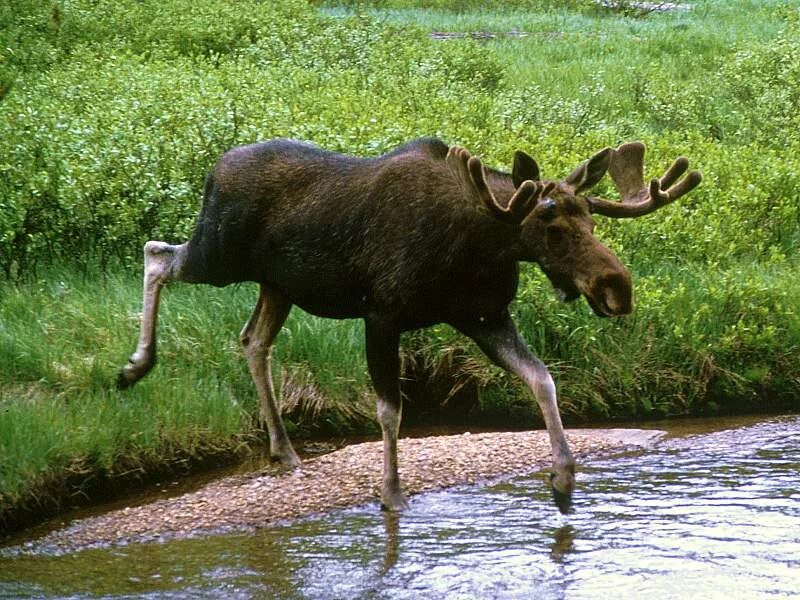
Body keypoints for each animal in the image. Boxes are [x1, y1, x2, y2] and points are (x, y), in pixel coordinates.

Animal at [117, 138, 700, 512]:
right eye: (550, 224)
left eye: (592, 219)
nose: (617, 287)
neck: (478, 245)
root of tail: (213, 171)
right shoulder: (382, 314)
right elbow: (390, 410)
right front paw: (391, 492)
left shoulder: (484, 316)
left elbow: (543, 379)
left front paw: (562, 477)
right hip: (218, 254)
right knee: (156, 254)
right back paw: (135, 366)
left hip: (276, 284)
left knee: (252, 340)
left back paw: (284, 449)